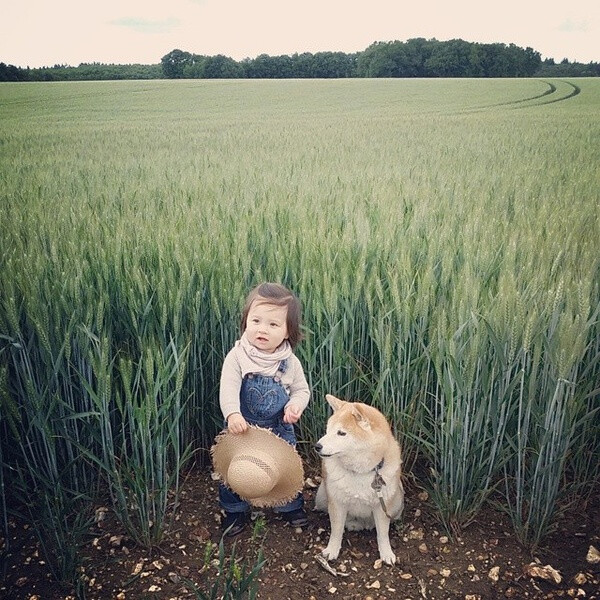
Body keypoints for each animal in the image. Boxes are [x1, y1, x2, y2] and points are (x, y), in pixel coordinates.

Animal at [314, 394, 404, 564]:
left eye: (341, 433)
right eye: (328, 430)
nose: (317, 446)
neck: (360, 472)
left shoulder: (381, 506)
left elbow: (383, 534)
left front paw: (386, 553)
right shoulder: (337, 502)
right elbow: (336, 530)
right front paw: (332, 550)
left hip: (397, 501)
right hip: (322, 495)